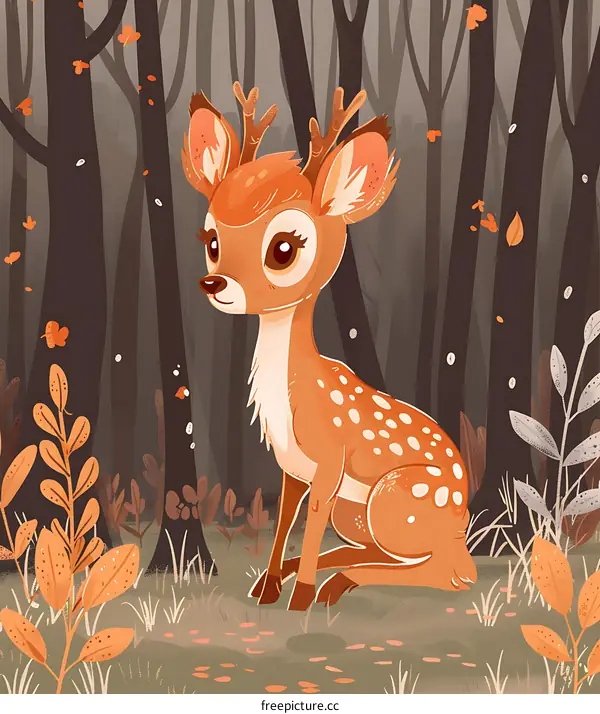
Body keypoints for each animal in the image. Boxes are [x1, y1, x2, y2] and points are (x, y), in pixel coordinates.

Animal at [182, 81, 477, 611]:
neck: (296, 393)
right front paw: (269, 585)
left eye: (283, 248)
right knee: (393, 555)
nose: (213, 282)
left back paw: (335, 584)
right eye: (211, 240)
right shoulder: (290, 466)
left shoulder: (331, 459)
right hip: (360, 513)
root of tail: (462, 516)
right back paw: (326, 574)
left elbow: (312, 517)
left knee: (452, 573)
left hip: (398, 499)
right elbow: (285, 518)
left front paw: (297, 597)